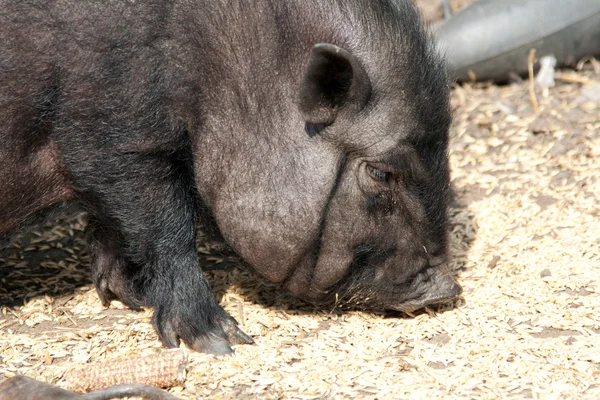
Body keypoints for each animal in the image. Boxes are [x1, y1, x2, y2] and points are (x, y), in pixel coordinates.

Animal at [0, 0, 460, 356]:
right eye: (383, 172)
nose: (447, 290)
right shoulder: (110, 136)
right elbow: (166, 230)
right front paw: (224, 342)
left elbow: (116, 227)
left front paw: (131, 297)